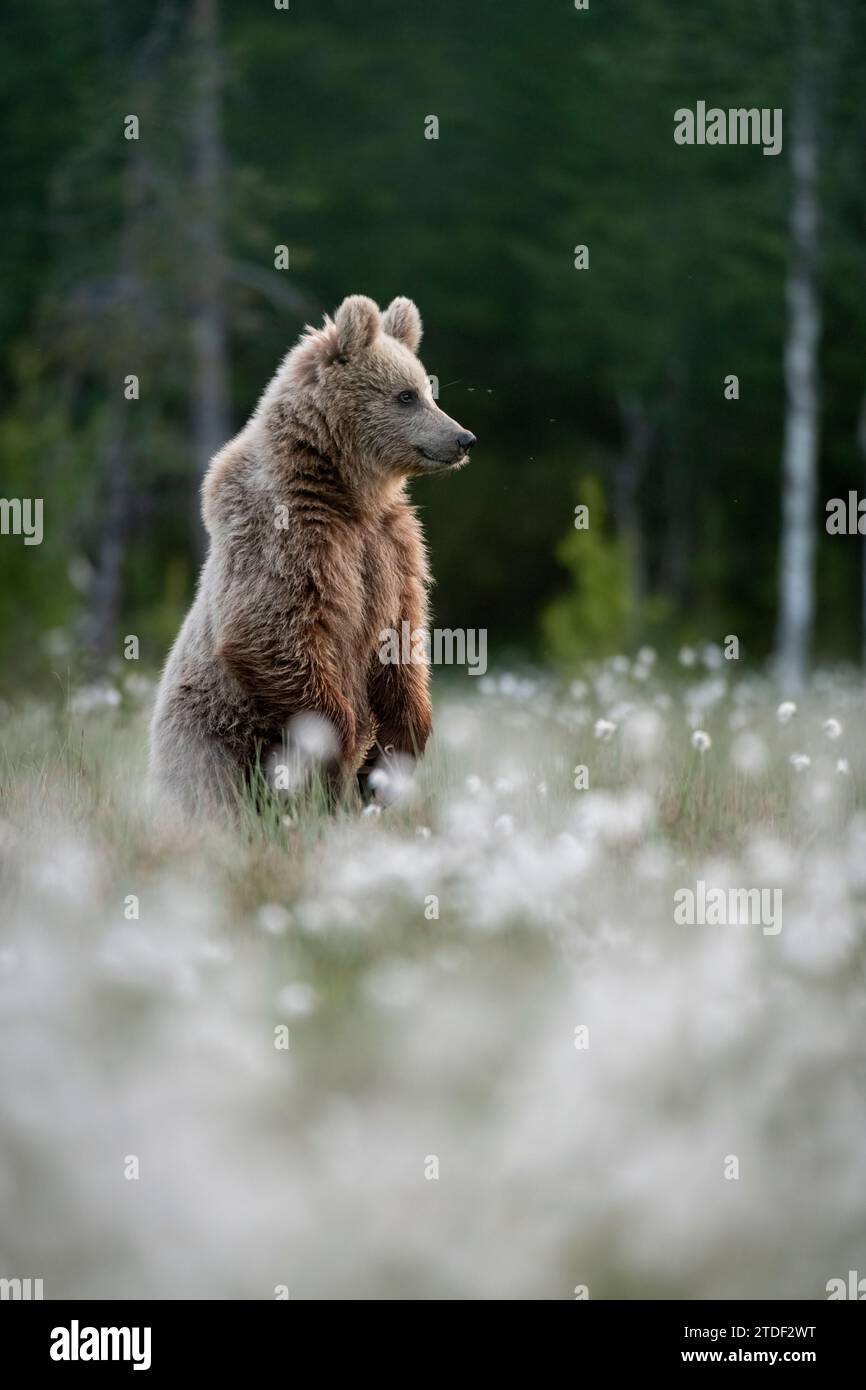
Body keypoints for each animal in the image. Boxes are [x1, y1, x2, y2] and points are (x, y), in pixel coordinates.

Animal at [149, 294, 476, 818]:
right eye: (406, 395)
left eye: (429, 389)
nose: (463, 438)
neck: (347, 492)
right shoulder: (289, 536)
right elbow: (273, 631)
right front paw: (338, 759)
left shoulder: (391, 547)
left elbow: (402, 638)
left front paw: (386, 764)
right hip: (216, 731)